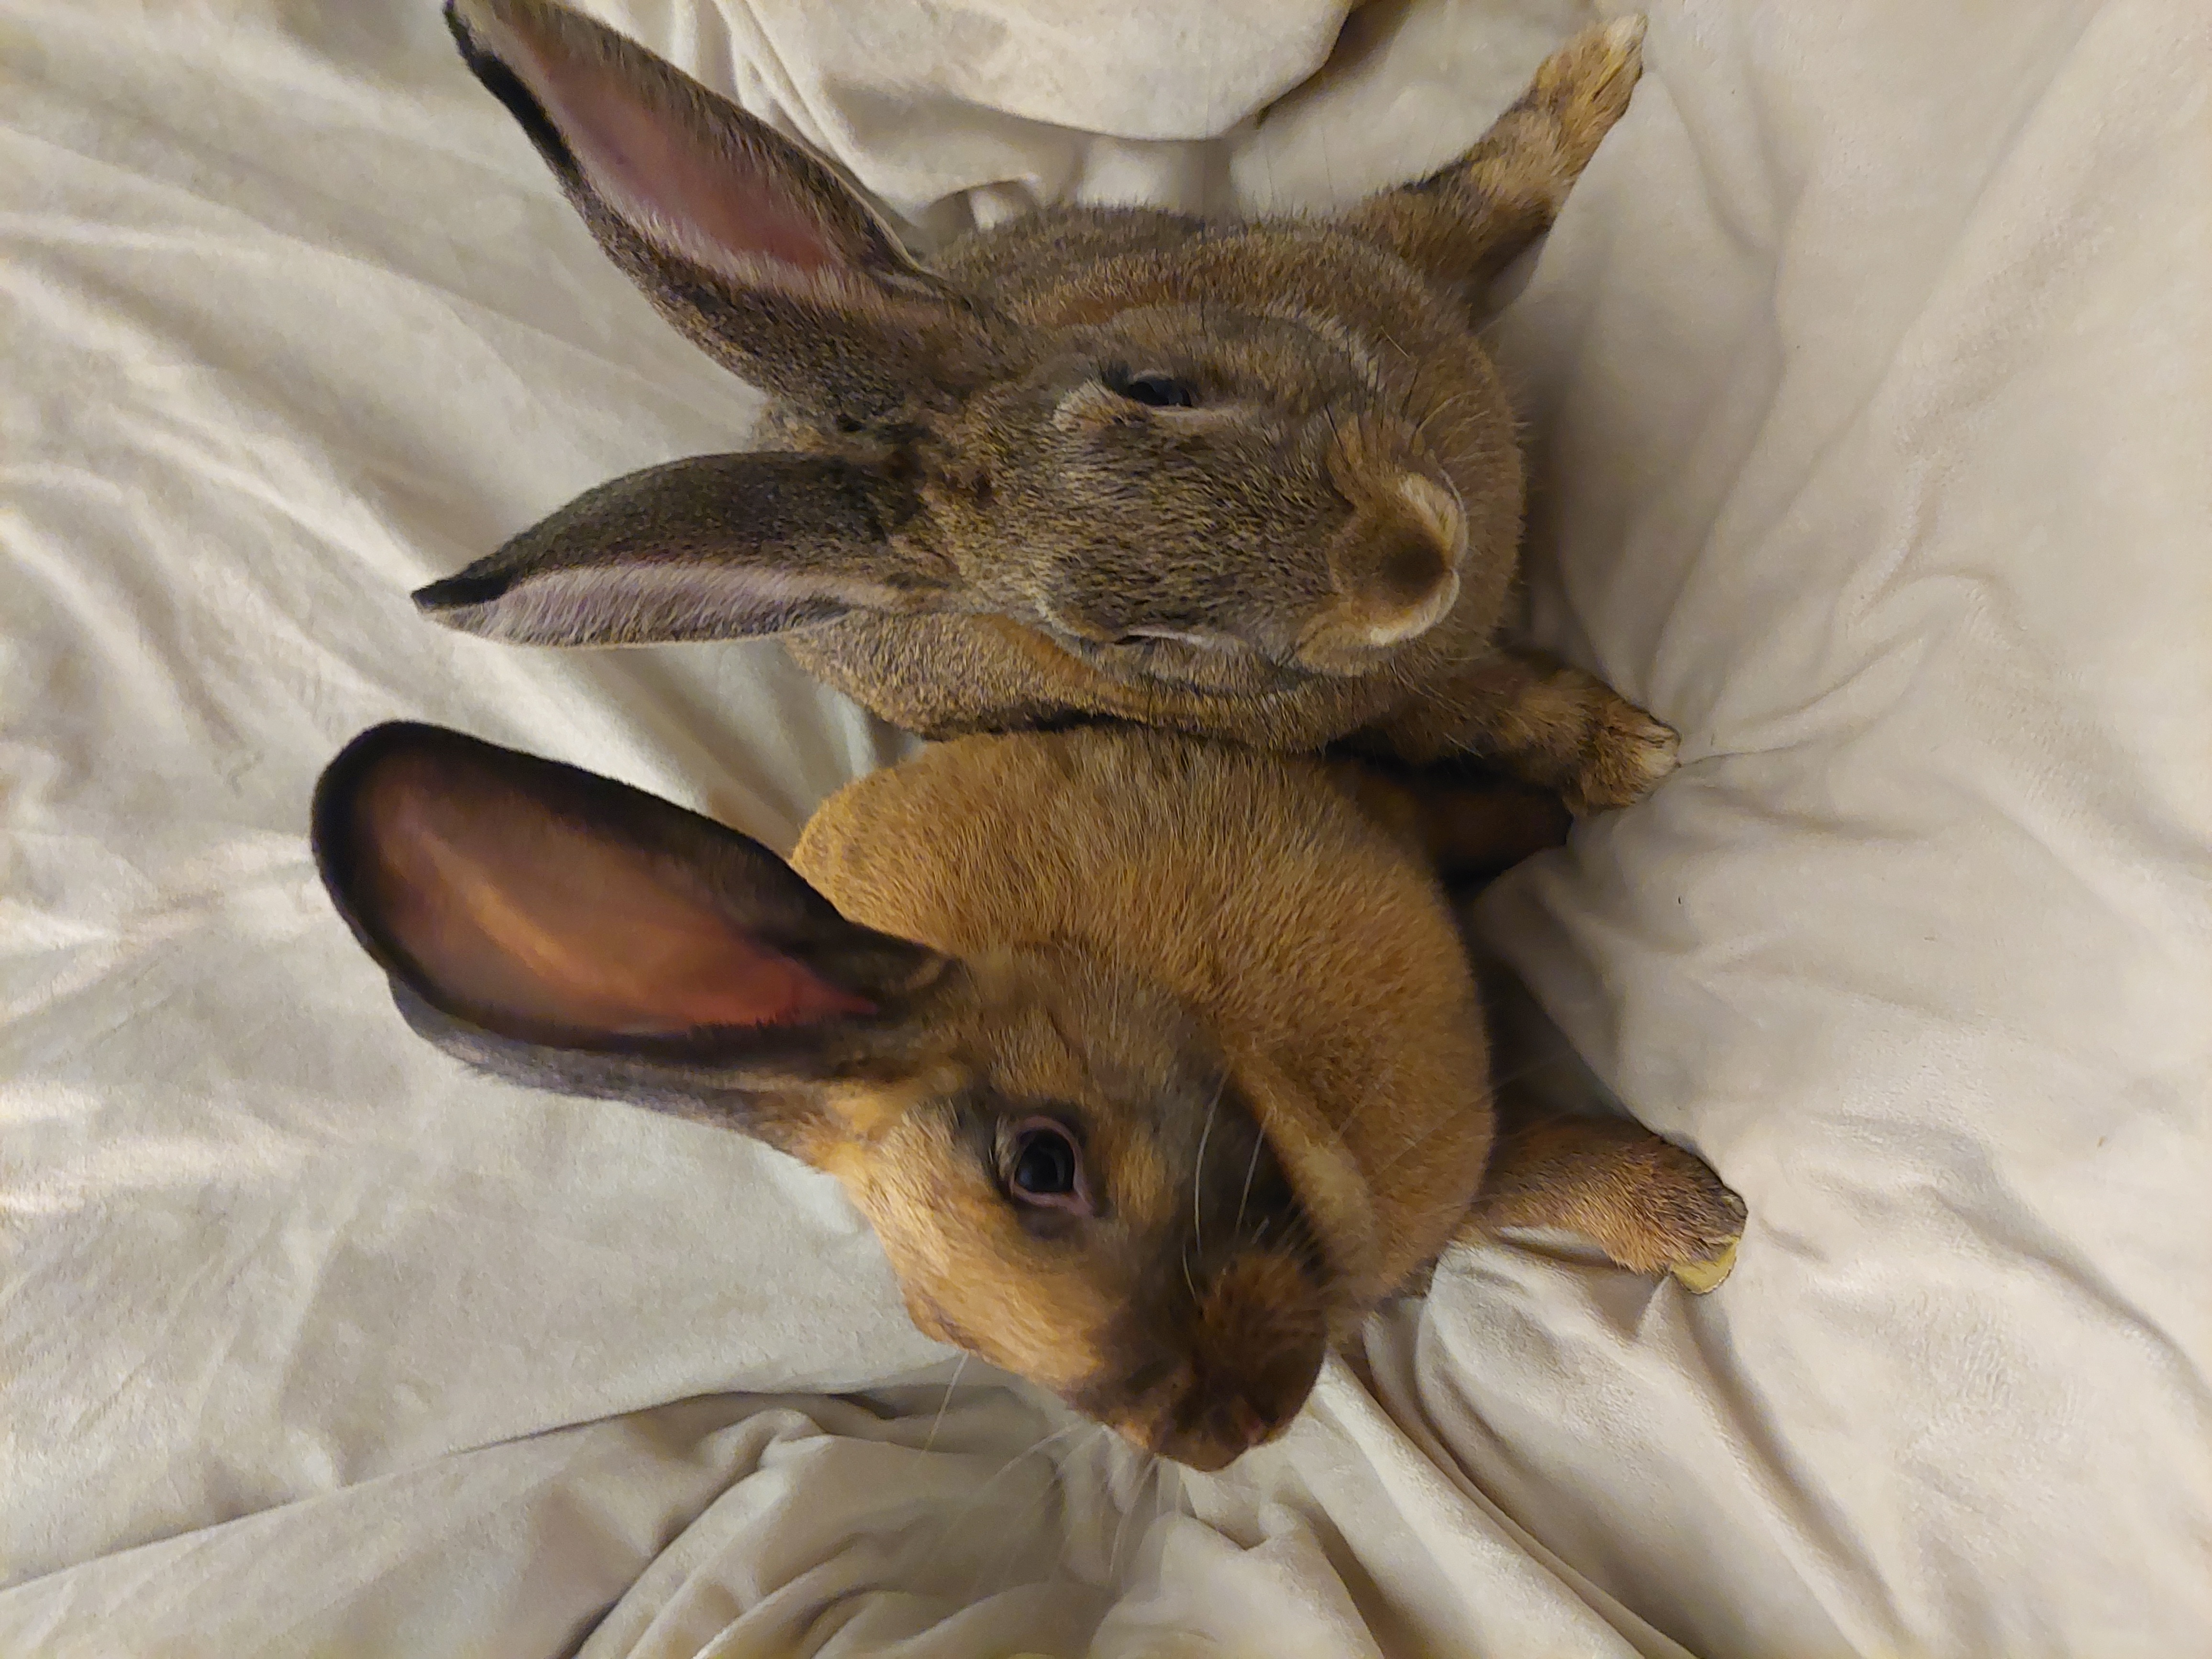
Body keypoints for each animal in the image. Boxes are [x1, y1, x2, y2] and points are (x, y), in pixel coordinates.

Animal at [313, 719, 1744, 1470]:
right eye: (935, 1326)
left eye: (1041, 1163)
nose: (1224, 1435)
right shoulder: (1458, 1175)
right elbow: (1535, 1165)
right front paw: (1694, 1223)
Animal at [415, 0, 1679, 816]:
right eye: (1130, 641)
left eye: (1152, 386)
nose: (1407, 563)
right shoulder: (1398, 712)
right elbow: (1506, 720)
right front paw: (1637, 754)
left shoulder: (1395, 240)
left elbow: (1490, 187)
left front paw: (1601, 69)